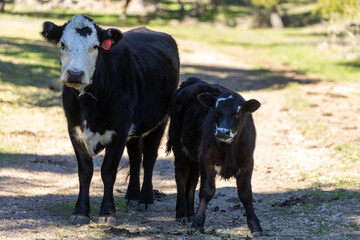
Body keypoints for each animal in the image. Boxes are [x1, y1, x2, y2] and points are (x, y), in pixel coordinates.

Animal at [41, 15, 179, 226]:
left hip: (160, 121)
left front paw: (107, 213)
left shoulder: (119, 131)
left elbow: (108, 171)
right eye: (62, 44)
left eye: (95, 46)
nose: (75, 74)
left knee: (149, 158)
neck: (89, 104)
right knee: (135, 157)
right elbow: (85, 171)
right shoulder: (74, 130)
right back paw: (132, 196)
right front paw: (80, 212)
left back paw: (145, 199)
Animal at [167, 78, 262, 237]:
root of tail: (193, 81)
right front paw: (197, 223)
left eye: (238, 113)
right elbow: (207, 191)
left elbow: (245, 194)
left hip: (195, 157)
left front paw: (255, 226)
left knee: (192, 182)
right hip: (179, 147)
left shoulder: (248, 162)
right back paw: (181, 214)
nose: (223, 132)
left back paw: (190, 213)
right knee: (181, 179)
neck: (229, 150)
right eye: (217, 111)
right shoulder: (207, 160)